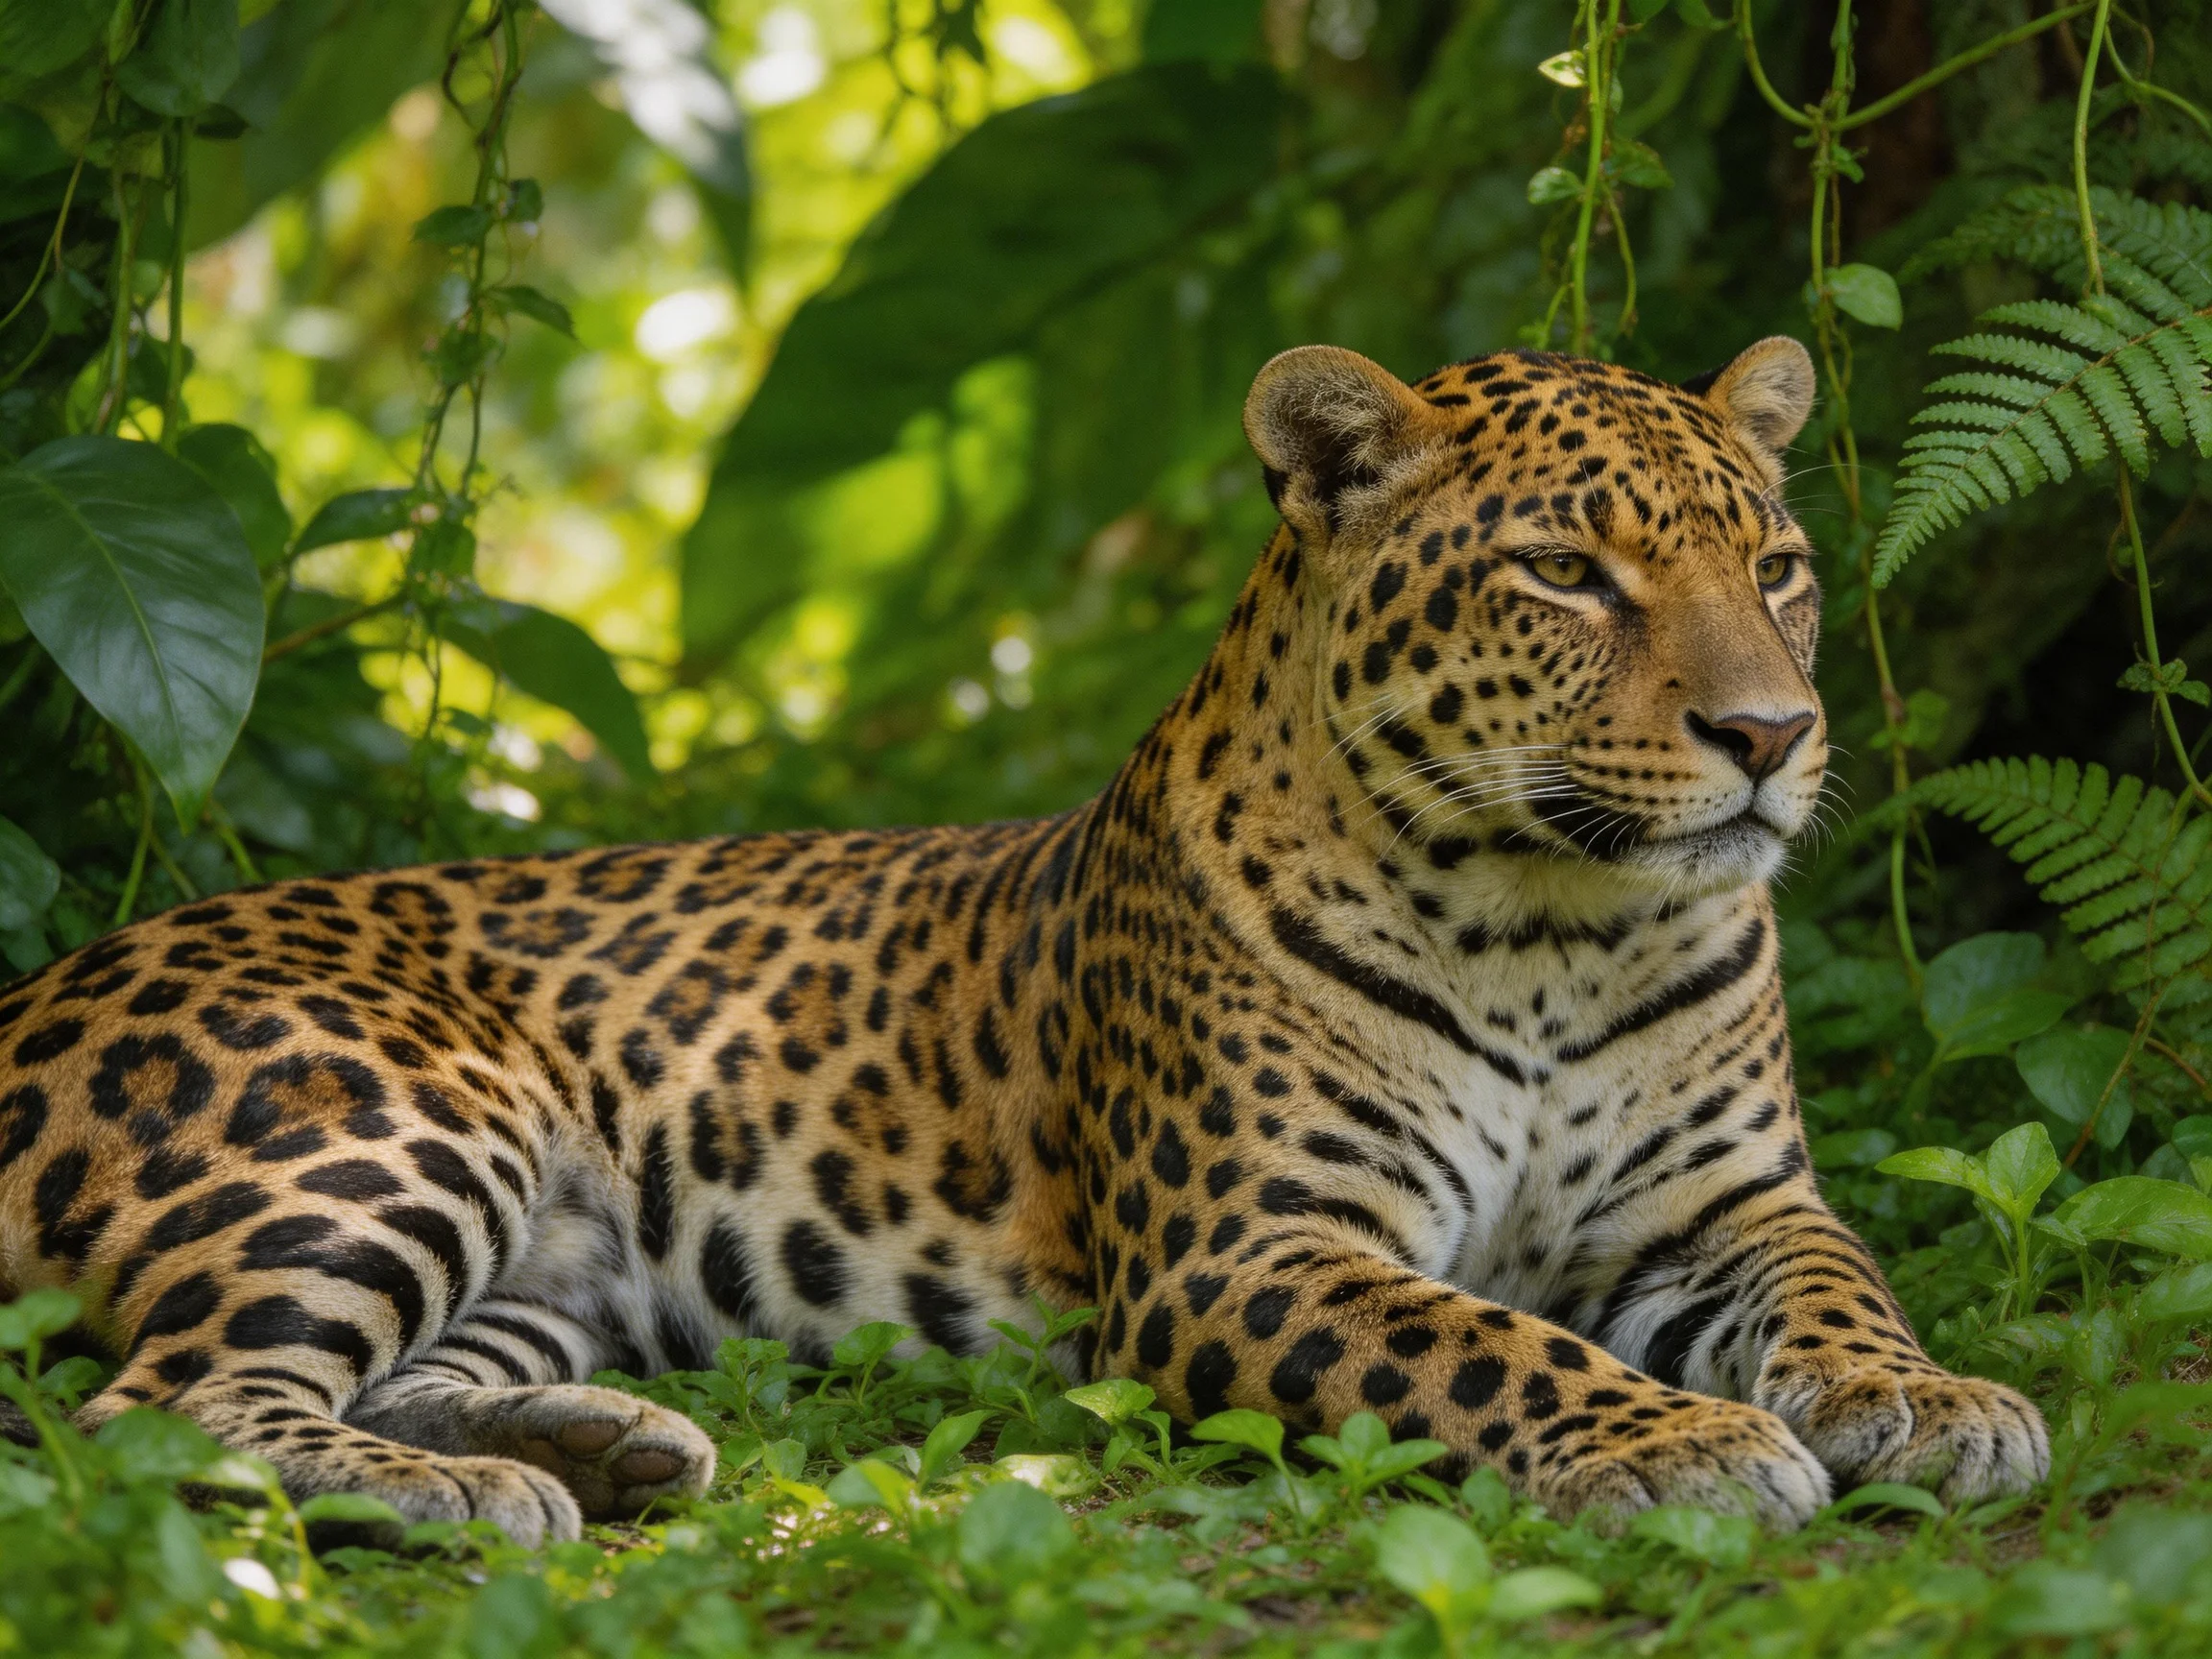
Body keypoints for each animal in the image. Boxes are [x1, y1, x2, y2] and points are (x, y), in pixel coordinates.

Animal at [0, 337, 2049, 1545]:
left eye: (1772, 565)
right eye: (1564, 573)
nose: (1768, 733)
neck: (1554, 921)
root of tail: (38, 983)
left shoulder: (1728, 1204)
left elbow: (1838, 1285)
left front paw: (1927, 1398)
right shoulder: (1245, 1250)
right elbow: (1485, 1343)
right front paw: (1673, 1443)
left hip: (547, 1247)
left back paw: (594, 1447)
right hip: (390, 1123)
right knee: (157, 1407)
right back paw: (473, 1492)